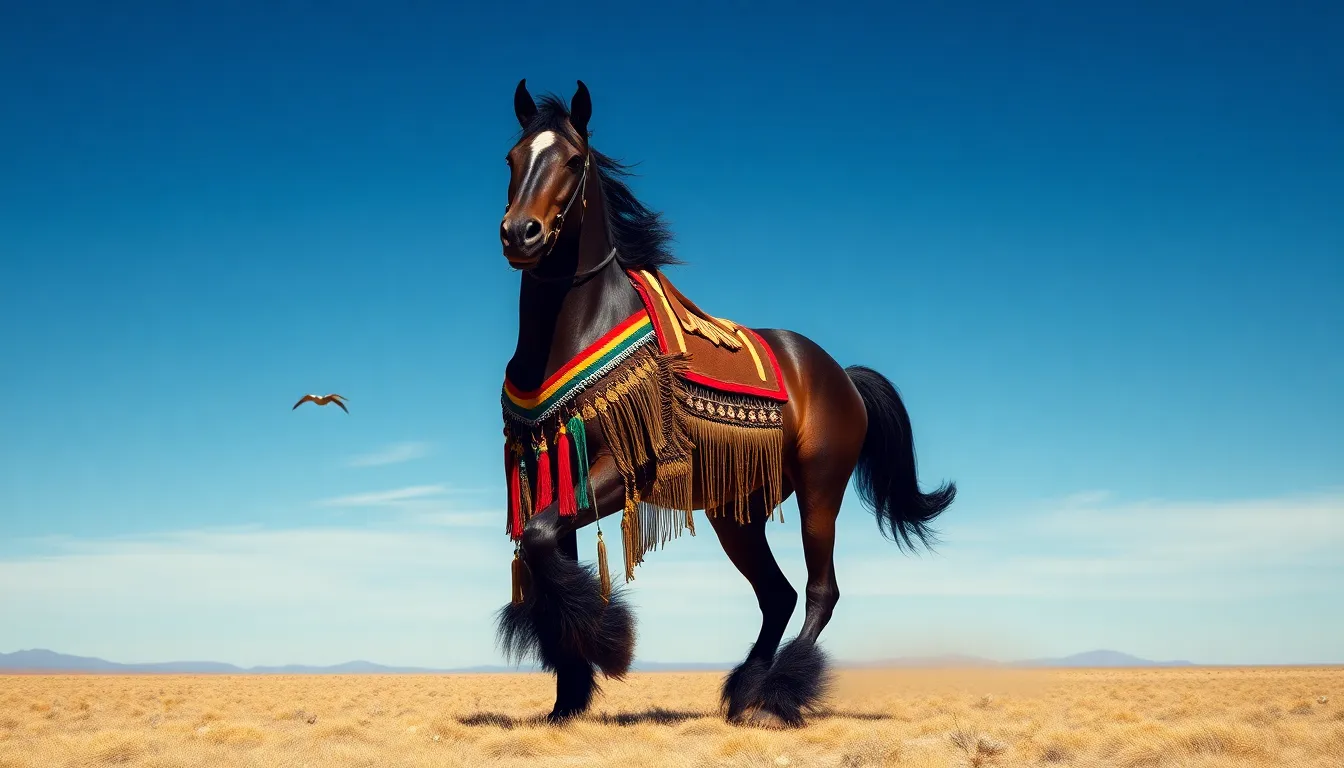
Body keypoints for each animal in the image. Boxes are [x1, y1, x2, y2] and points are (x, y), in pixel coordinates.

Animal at [493, 79, 956, 727]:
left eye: (574, 160)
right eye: (511, 158)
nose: (520, 234)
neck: (581, 330)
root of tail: (840, 374)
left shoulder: (630, 468)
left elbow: (539, 544)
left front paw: (612, 646)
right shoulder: (557, 473)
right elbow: (545, 558)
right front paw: (567, 701)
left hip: (819, 489)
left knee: (820, 591)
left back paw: (779, 693)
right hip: (736, 510)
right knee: (777, 593)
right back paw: (743, 693)